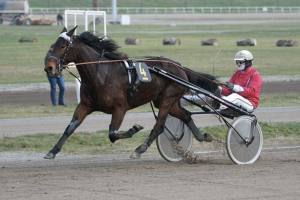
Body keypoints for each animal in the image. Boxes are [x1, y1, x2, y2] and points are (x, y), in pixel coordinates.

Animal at [42, 26, 220, 159]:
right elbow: (70, 128)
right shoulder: (85, 105)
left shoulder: (120, 108)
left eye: (62, 46)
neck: (102, 73)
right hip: (166, 100)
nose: (49, 67)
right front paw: (52, 151)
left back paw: (139, 149)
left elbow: (112, 134)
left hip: (168, 99)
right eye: (52, 44)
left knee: (159, 127)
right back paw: (203, 137)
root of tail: (180, 67)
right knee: (186, 115)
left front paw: (134, 129)